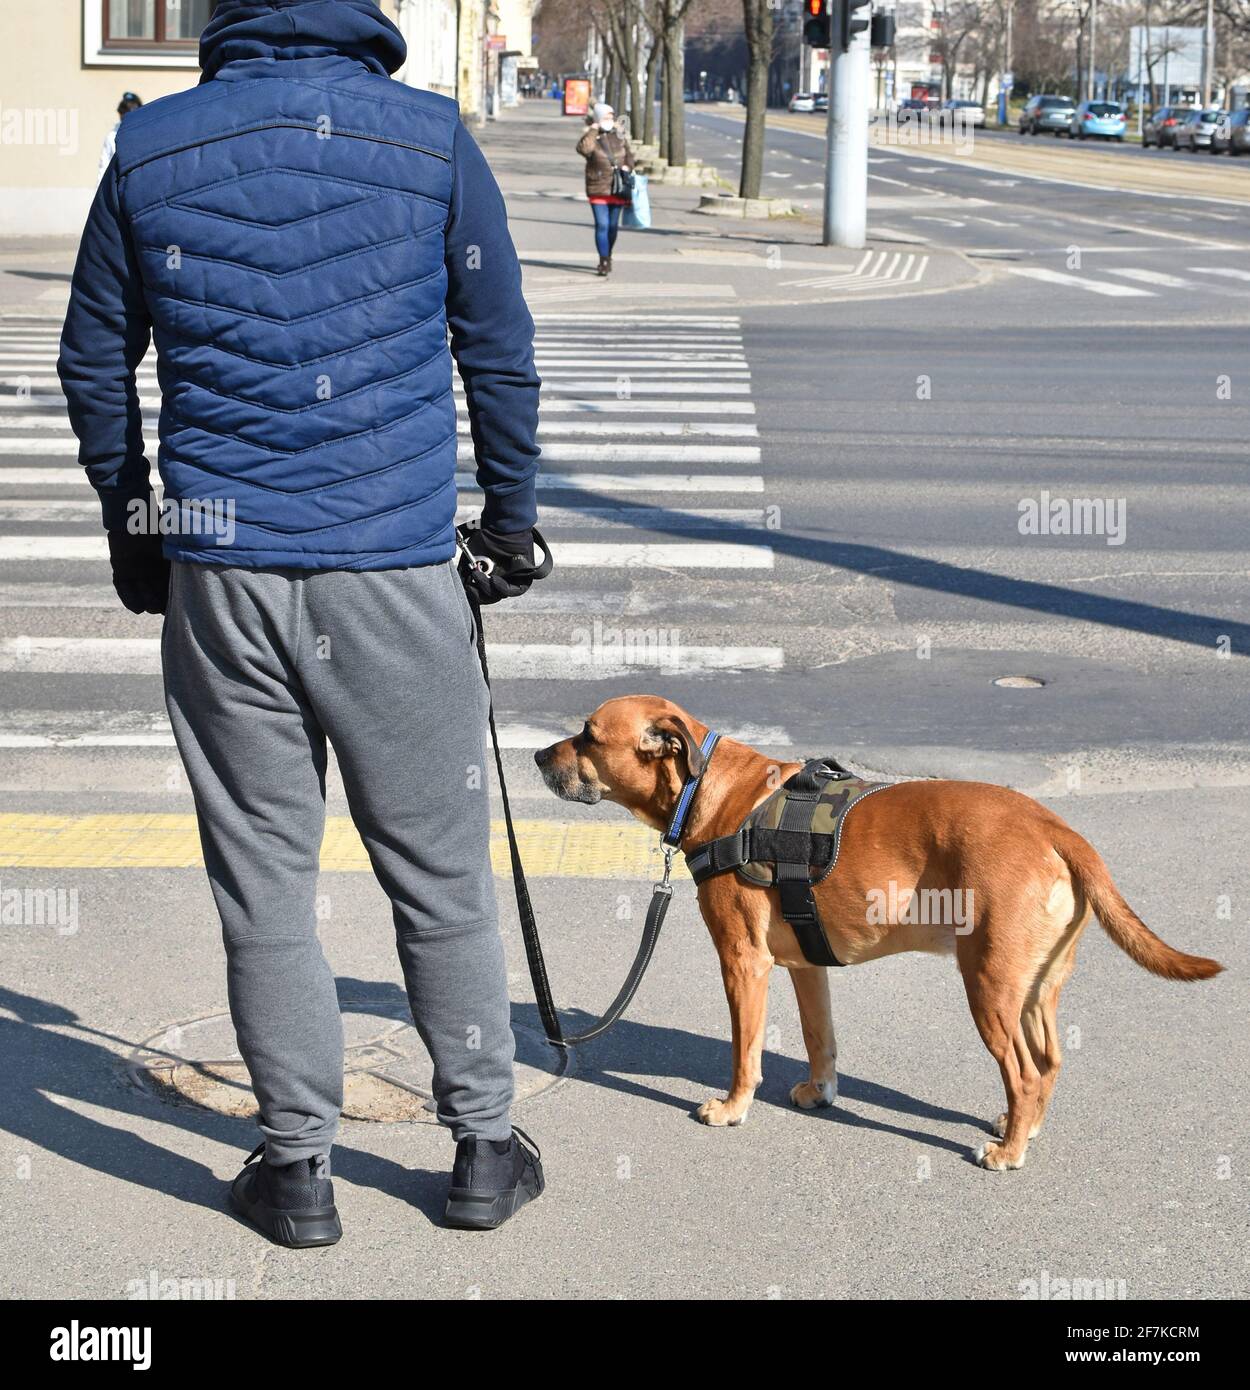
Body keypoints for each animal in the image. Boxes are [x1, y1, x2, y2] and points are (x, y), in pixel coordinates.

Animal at [533, 692, 1223, 1162]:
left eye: (588, 735)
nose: (538, 755)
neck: (711, 790)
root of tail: (1055, 828)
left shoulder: (744, 963)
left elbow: (744, 1052)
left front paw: (733, 1106)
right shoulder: (806, 969)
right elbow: (820, 1039)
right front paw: (821, 1092)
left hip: (990, 987)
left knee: (1026, 1072)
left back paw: (1009, 1151)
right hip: (1035, 988)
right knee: (1047, 1066)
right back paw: (1018, 1126)